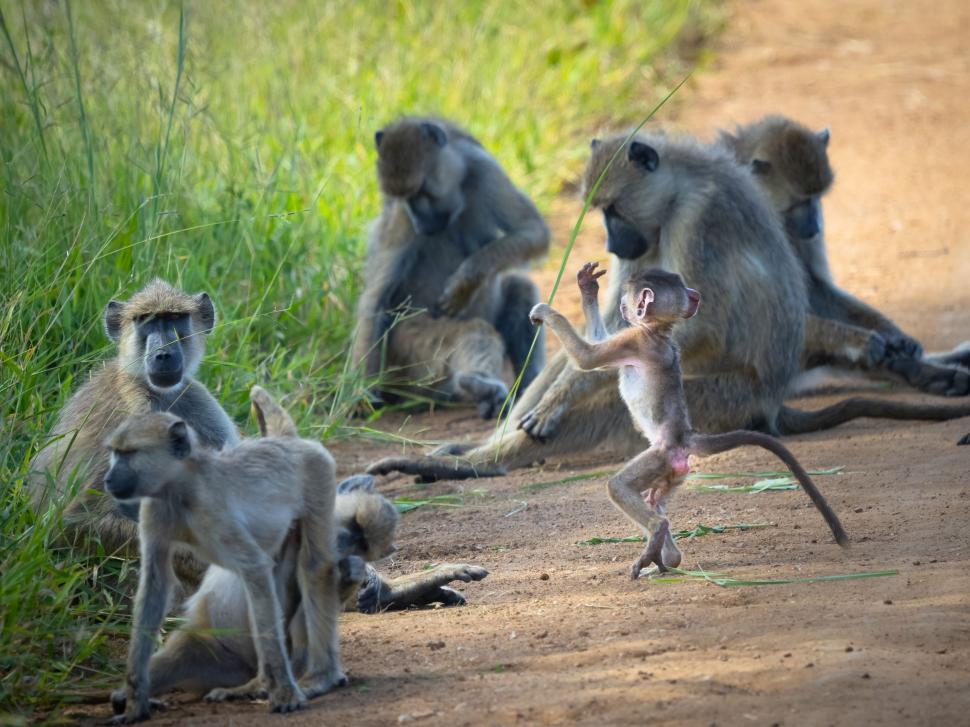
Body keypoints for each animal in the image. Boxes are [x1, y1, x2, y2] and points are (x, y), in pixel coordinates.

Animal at [27, 279, 238, 584]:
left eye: (174, 318)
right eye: (146, 321)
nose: (163, 354)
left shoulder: (195, 399)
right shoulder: (135, 420)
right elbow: (72, 523)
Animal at [103, 408, 347, 722]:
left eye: (129, 453)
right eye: (115, 452)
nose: (108, 479)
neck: (180, 487)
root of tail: (289, 442)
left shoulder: (210, 511)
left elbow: (254, 567)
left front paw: (284, 692)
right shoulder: (154, 509)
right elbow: (155, 586)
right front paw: (136, 703)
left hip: (318, 472)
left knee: (315, 567)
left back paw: (319, 677)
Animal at [352, 116, 550, 418]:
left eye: (422, 192)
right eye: (406, 198)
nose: (422, 224)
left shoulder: (484, 170)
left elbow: (533, 230)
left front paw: (466, 282)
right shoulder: (400, 220)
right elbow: (376, 298)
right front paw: (360, 394)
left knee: (521, 288)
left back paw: (525, 385)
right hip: (410, 353)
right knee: (473, 330)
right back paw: (479, 385)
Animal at [529, 263, 848, 578]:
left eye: (628, 299)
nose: (622, 306)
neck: (659, 331)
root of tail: (684, 436)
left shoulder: (636, 341)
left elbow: (588, 357)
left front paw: (546, 312)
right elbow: (595, 350)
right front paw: (587, 287)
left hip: (662, 457)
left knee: (621, 488)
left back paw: (657, 535)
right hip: (675, 473)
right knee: (653, 501)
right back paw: (667, 558)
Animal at [719, 115, 970, 396]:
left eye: (816, 198)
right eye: (797, 203)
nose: (815, 226)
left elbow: (813, 288)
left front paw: (894, 336)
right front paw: (858, 342)